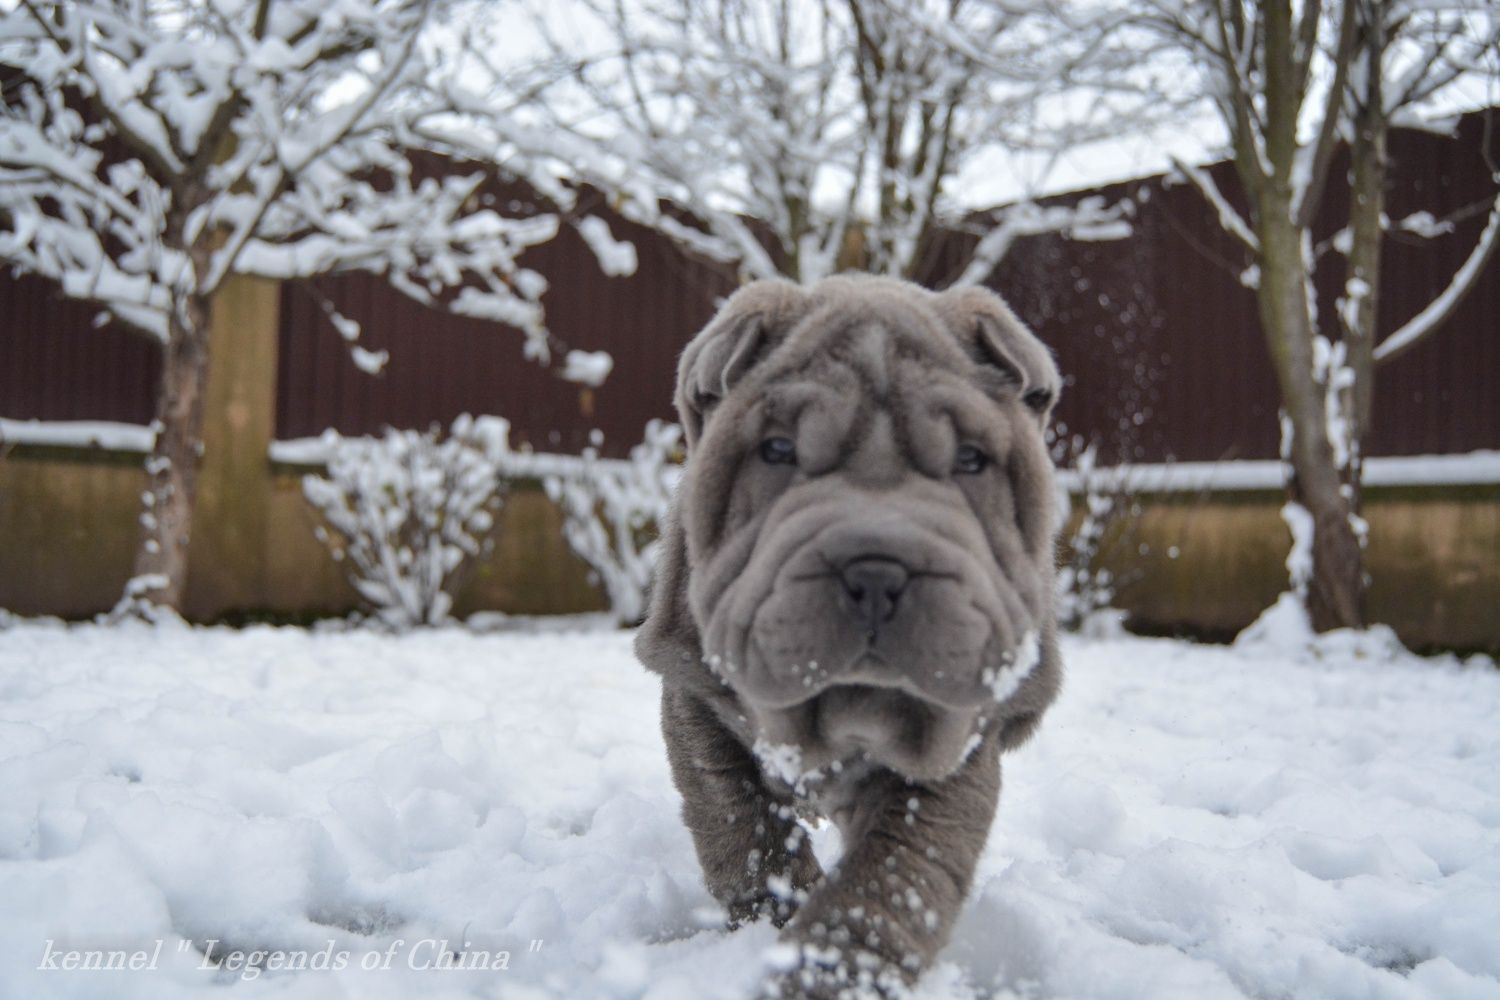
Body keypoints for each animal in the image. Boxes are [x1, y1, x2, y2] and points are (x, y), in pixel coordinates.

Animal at [639, 274, 1062, 1000]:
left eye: (971, 460)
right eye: (778, 451)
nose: (877, 569)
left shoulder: (957, 739)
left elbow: (897, 873)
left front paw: (830, 971)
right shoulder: (691, 687)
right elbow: (735, 813)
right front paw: (774, 911)